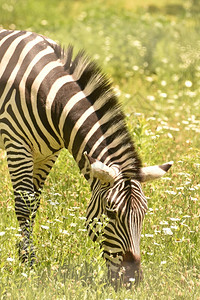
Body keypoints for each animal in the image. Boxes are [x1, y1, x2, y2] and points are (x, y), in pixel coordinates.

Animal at [0, 29, 172, 284]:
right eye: (111, 213)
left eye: (144, 213)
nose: (132, 281)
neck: (51, 97)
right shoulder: (17, 144)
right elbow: (25, 205)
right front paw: (29, 264)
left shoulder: (47, 154)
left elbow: (34, 204)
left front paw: (22, 256)